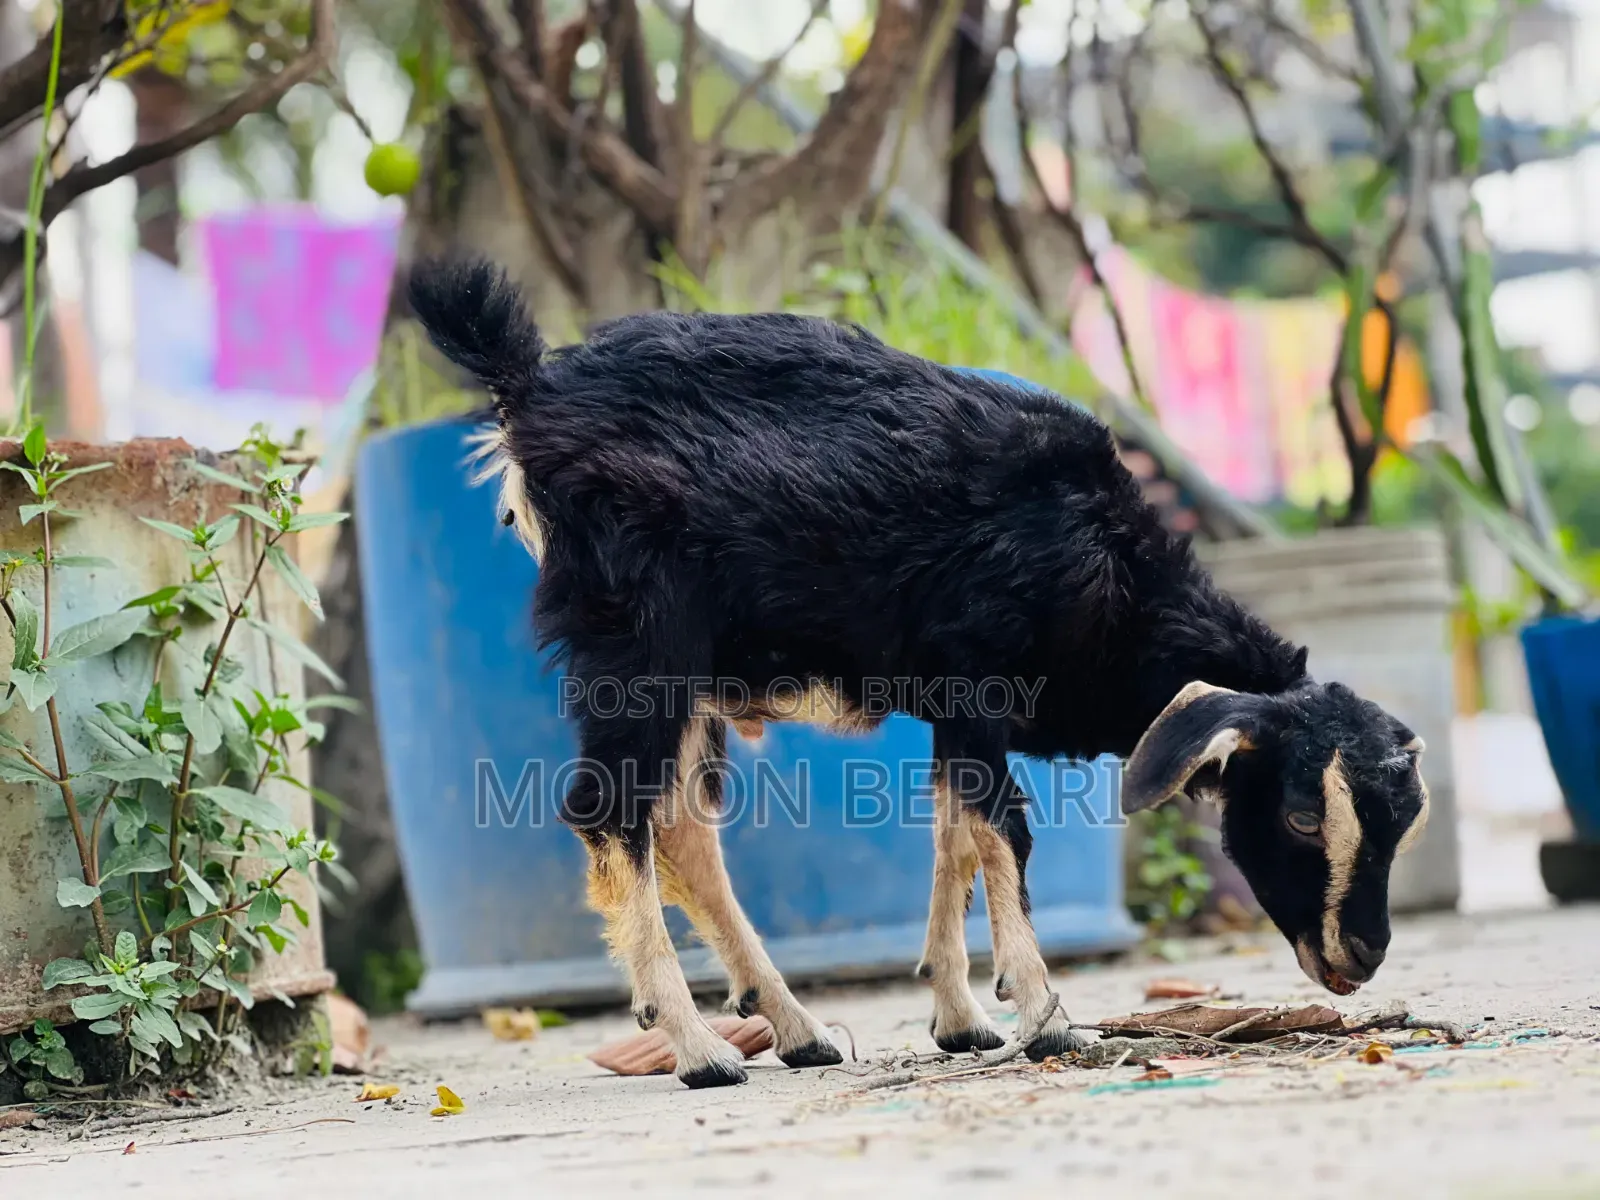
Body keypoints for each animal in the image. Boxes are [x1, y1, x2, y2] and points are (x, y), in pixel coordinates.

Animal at [408, 259, 1431, 1089]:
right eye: (1301, 816)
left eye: (1402, 823)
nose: (1361, 956)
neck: (1106, 564)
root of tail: (529, 385)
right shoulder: (978, 679)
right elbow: (1003, 830)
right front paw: (1048, 1019)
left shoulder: (952, 703)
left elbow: (955, 834)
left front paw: (961, 1017)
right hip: (639, 642)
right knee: (609, 810)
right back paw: (699, 1050)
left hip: (686, 669)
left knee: (684, 830)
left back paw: (797, 1030)